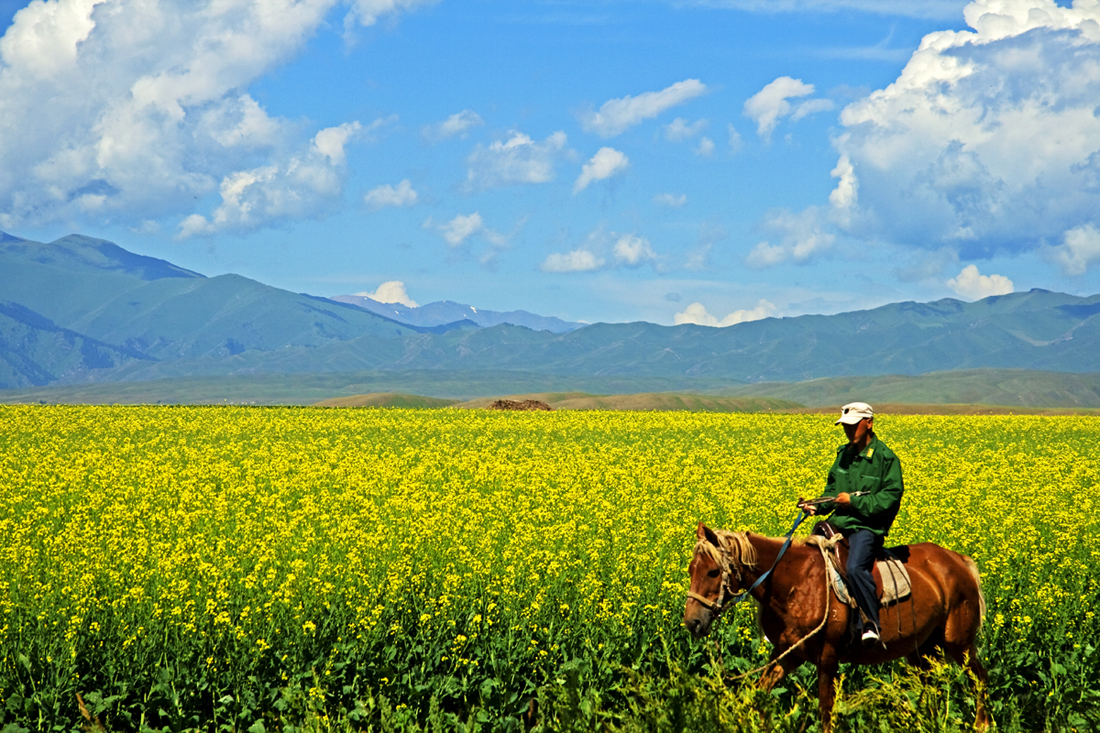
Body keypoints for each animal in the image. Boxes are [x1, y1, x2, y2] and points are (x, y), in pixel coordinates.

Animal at [682, 517, 994, 726]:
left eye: (712, 572)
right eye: (690, 570)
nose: (692, 622)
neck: (794, 582)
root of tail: (958, 559)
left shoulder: (828, 657)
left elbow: (825, 710)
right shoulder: (788, 653)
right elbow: (759, 692)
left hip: (958, 642)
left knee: (979, 677)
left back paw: (982, 724)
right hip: (922, 651)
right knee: (931, 686)